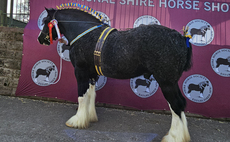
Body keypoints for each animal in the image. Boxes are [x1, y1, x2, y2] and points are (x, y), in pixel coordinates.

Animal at [37, 5, 192, 142]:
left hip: (166, 82)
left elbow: (82, 96)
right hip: (172, 82)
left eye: (45, 21)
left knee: (176, 105)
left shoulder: (80, 71)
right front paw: (89, 117)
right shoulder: (92, 74)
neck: (85, 33)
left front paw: (77, 121)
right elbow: (91, 94)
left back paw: (174, 137)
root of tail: (181, 38)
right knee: (181, 104)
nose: (40, 39)